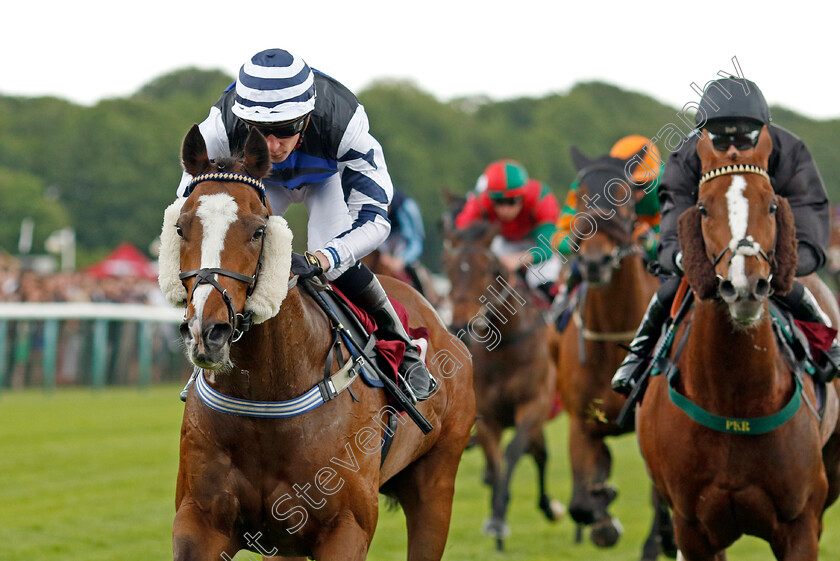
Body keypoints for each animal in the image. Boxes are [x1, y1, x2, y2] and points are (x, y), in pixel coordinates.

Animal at [163, 126, 476, 560]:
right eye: (181, 228)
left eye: (258, 231)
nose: (207, 332)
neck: (265, 395)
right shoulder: (201, 523)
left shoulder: (345, 529)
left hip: (436, 483)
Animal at [440, 221, 564, 548]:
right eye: (449, 268)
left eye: (488, 269)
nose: (460, 324)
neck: (506, 347)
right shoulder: (486, 415)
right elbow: (495, 463)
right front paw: (496, 522)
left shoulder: (534, 405)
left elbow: (512, 453)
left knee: (539, 454)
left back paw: (551, 507)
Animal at [556, 147, 676, 556]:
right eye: (579, 196)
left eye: (623, 196)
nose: (595, 262)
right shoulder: (580, 421)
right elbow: (580, 503)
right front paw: (603, 517)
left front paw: (661, 540)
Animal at [636, 127, 840, 560]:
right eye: (702, 208)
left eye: (772, 206)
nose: (745, 286)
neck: (735, 399)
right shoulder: (692, 529)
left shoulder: (801, 524)